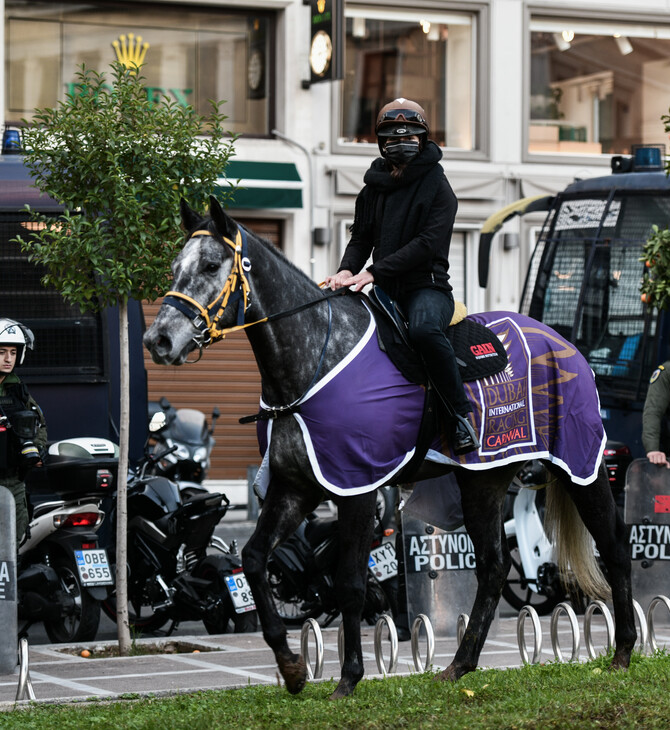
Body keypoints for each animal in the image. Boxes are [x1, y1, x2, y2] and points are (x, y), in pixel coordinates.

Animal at [144, 196, 636, 696]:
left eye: (210, 265)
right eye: (174, 268)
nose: (157, 340)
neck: (314, 360)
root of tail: (565, 344)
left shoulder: (356, 488)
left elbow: (350, 584)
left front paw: (348, 677)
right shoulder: (294, 488)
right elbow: (254, 559)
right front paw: (292, 666)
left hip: (579, 464)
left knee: (614, 543)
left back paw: (623, 652)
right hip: (483, 480)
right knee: (494, 568)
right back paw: (460, 663)